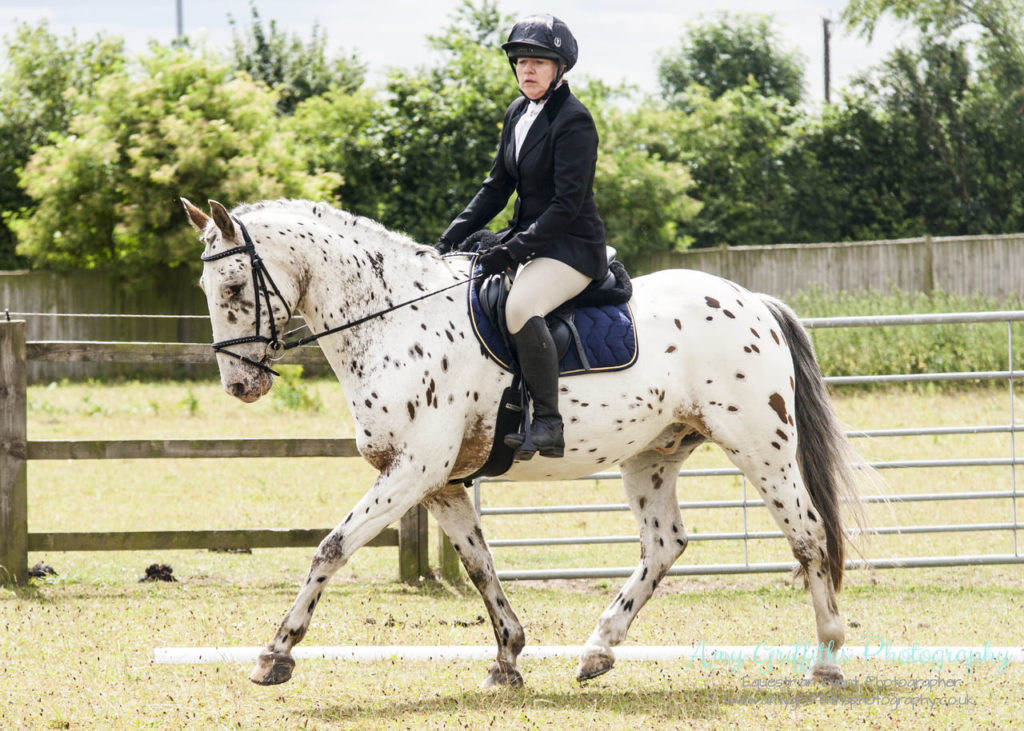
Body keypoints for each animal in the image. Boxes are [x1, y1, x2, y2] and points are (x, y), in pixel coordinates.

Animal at [182, 196, 864, 688]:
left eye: (236, 288)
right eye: (206, 290)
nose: (239, 385)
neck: (393, 320)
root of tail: (753, 301)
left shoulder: (411, 470)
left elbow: (331, 549)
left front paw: (274, 655)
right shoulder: (439, 484)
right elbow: (479, 565)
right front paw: (507, 658)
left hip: (760, 447)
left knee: (808, 535)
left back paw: (827, 658)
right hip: (653, 455)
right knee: (665, 544)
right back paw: (597, 651)